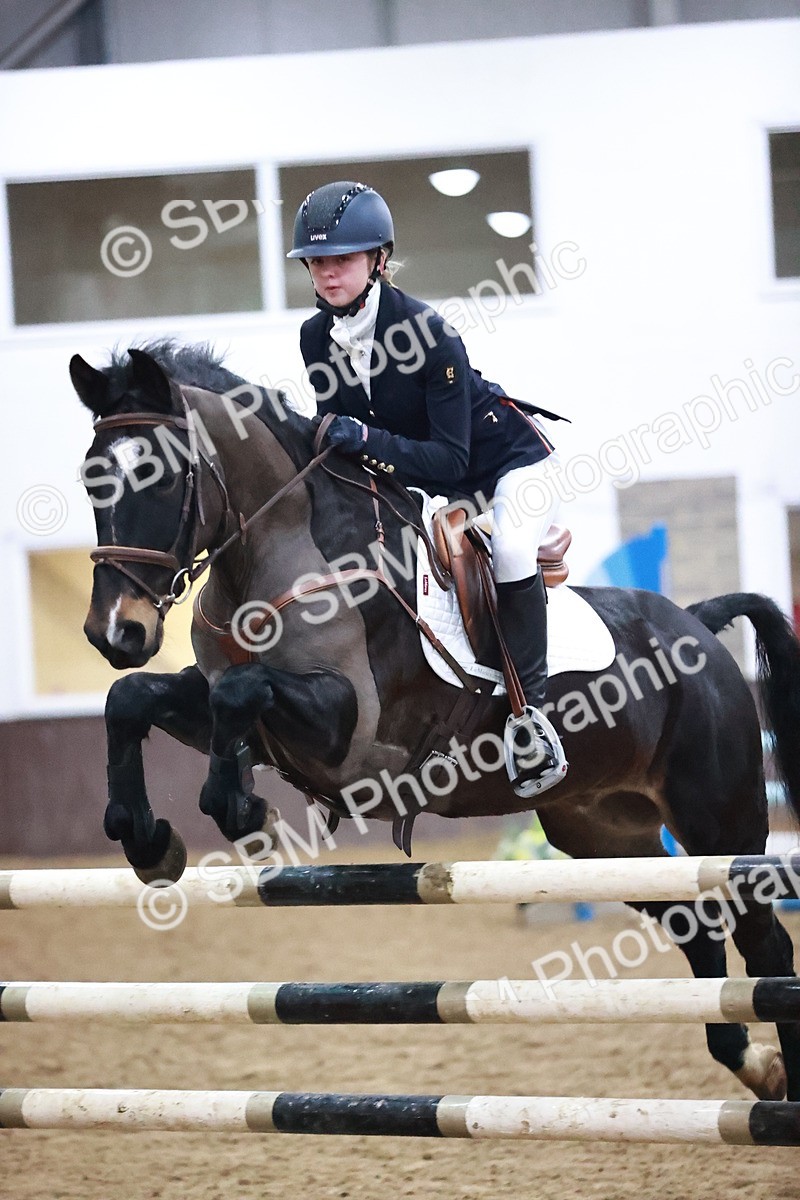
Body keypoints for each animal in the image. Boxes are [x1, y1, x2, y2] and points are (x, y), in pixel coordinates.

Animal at [70, 340, 800, 1103]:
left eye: (157, 476)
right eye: (91, 479)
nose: (114, 632)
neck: (273, 555)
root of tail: (698, 624)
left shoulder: (354, 738)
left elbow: (239, 694)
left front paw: (244, 813)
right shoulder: (234, 708)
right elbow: (135, 699)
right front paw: (149, 841)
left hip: (718, 818)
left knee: (764, 939)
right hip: (604, 833)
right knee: (694, 924)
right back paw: (751, 1063)